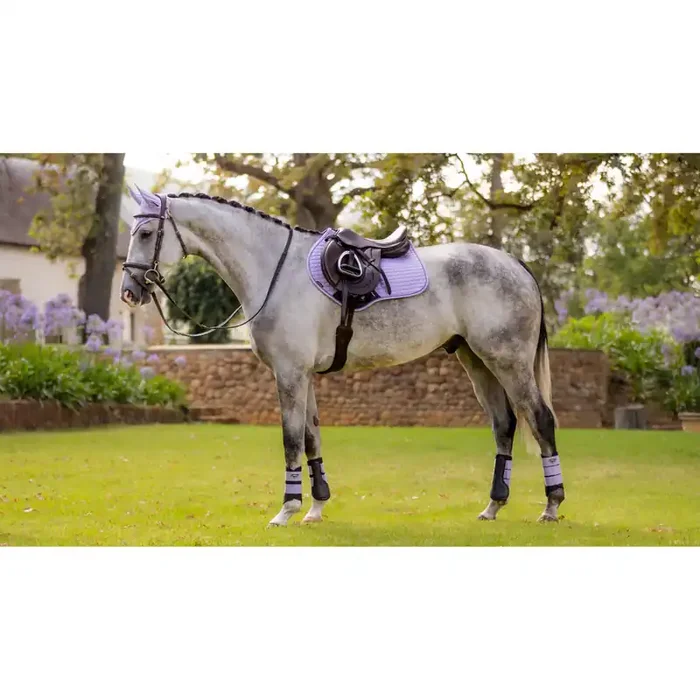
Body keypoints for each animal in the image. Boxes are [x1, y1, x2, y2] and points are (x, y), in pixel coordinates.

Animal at [120, 186, 565, 527]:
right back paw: (493, 506)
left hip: (508, 361)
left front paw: (286, 510)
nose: (129, 291)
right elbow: (312, 437)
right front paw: (315, 507)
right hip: (476, 361)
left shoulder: (290, 374)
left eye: (146, 232)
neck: (276, 271)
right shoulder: (303, 376)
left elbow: (291, 439)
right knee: (504, 425)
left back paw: (551, 505)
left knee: (540, 419)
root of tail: (515, 264)